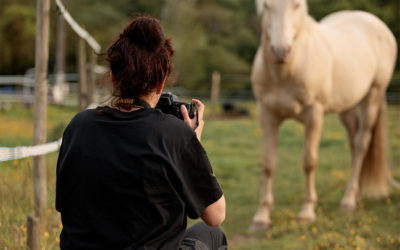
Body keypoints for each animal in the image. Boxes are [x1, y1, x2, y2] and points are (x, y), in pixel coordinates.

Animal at [252, 0, 398, 229]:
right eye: (266, 5)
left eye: (296, 5)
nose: (280, 51)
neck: (288, 70)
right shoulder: (267, 115)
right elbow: (268, 163)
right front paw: (261, 217)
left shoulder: (314, 114)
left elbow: (309, 161)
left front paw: (307, 212)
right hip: (347, 106)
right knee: (353, 141)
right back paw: (355, 196)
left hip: (373, 96)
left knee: (361, 144)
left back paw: (348, 201)